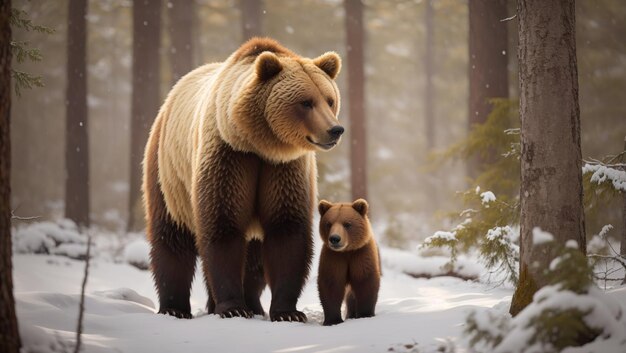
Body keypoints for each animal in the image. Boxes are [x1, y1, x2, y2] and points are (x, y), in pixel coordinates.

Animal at [143, 37, 342, 320]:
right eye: (306, 102)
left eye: (329, 99)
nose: (335, 129)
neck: (260, 144)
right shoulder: (229, 158)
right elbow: (223, 226)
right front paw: (232, 308)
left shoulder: (284, 170)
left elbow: (286, 230)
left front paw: (287, 311)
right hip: (167, 172)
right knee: (171, 240)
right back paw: (174, 307)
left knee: (255, 256)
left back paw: (252, 303)